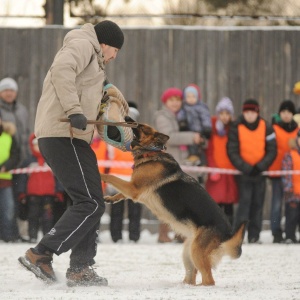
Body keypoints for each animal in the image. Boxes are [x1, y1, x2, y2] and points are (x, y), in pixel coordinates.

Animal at [101, 119, 246, 286]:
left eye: (142, 127)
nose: (127, 118)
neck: (152, 152)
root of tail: (228, 233)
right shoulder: (132, 189)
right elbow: (120, 192)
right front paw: (111, 198)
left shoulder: (133, 189)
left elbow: (111, 177)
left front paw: (99, 173)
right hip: (188, 252)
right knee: (192, 275)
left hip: (196, 252)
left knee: (209, 279)